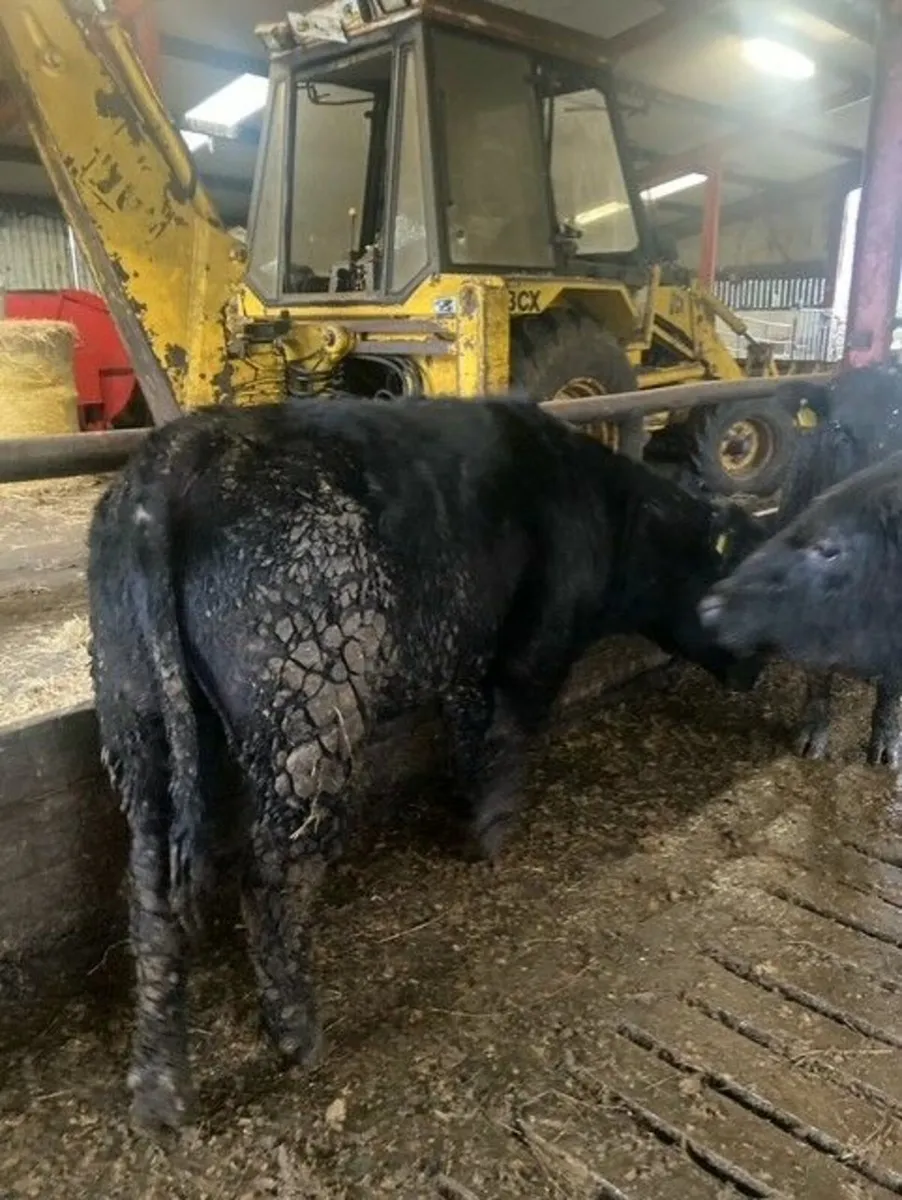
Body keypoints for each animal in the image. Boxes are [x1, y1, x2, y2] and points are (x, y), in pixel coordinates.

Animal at [88, 394, 764, 1133]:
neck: (610, 513)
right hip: (310, 708)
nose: (760, 669)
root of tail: (171, 462)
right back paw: (297, 1031)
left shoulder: (468, 664)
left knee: (148, 891)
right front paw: (491, 838)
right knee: (272, 877)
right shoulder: (533, 649)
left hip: (134, 711)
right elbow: (507, 738)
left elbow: (472, 734)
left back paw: (160, 1093)